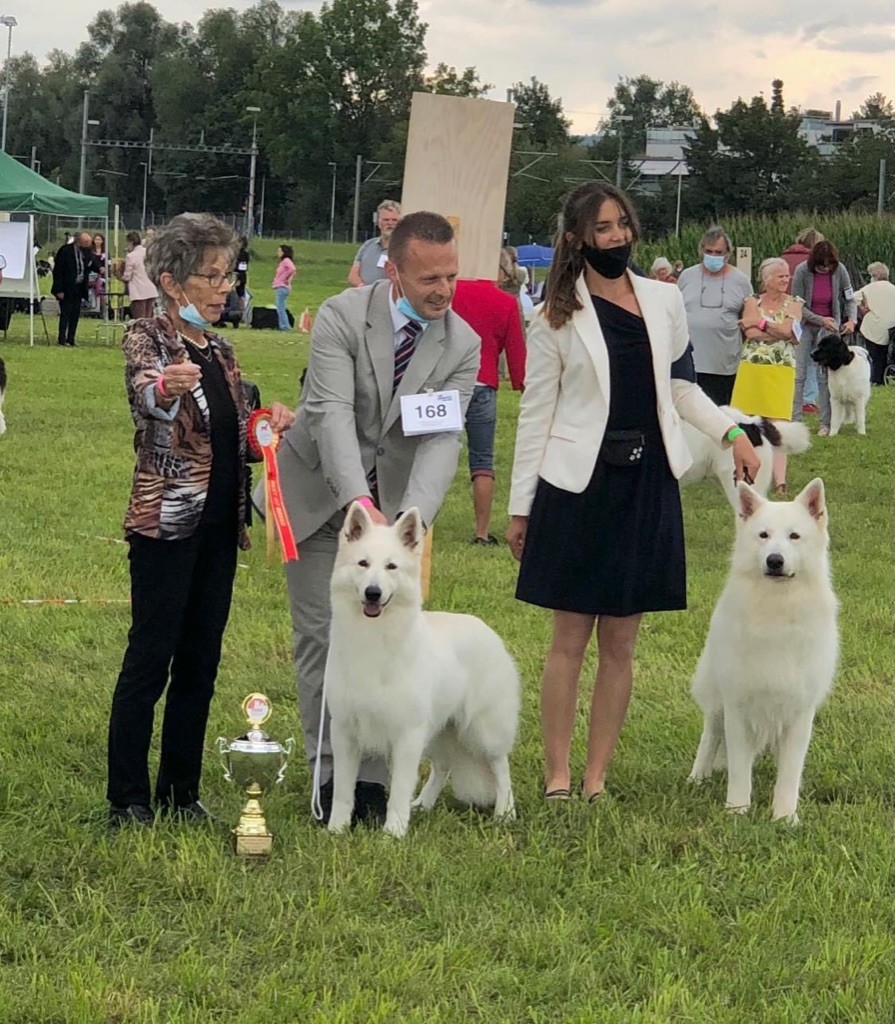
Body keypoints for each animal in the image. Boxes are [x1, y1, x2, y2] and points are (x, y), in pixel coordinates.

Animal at [323, 499, 520, 835]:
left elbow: (399, 788)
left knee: (500, 767)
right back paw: (423, 805)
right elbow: (343, 791)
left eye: (391, 567)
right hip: (438, 731)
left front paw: (393, 832)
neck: (374, 638)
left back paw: (505, 813)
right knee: (443, 767)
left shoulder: (407, 734)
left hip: (482, 731)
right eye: (363, 563)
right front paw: (337, 830)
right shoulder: (345, 731)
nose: (373, 592)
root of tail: (489, 632)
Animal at [692, 479, 835, 823]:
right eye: (763, 535)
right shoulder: (737, 707)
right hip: (717, 701)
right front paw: (737, 811)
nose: (774, 560)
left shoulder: (799, 714)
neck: (776, 608)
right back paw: (698, 776)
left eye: (794, 536)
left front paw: (784, 818)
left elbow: (790, 773)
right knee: (710, 734)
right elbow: (740, 770)